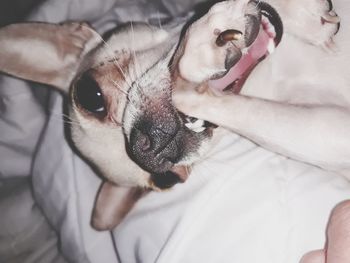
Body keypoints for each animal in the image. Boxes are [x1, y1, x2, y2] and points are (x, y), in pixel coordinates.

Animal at [0, 0, 348, 258]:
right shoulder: (328, 131)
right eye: (168, 180)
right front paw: (199, 55)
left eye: (90, 95)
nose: (152, 149)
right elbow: (230, 105)